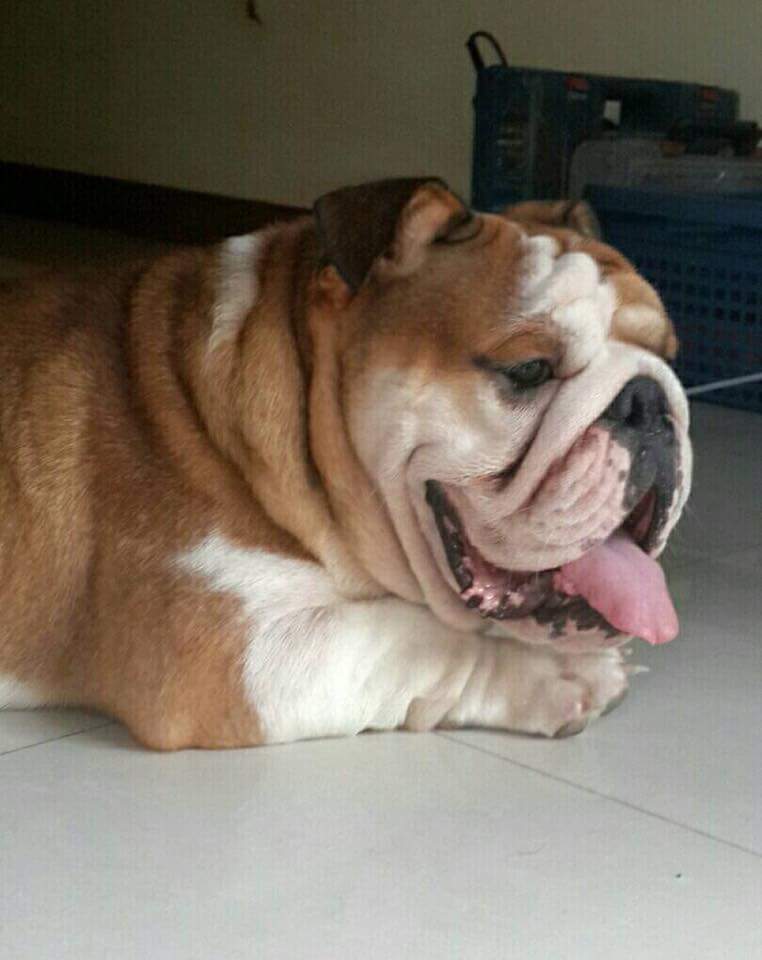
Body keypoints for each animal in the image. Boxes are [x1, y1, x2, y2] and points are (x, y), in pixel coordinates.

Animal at [0, 178, 691, 749]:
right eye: (529, 369)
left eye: (668, 355)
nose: (650, 403)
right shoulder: (233, 650)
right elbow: (420, 638)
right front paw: (560, 674)